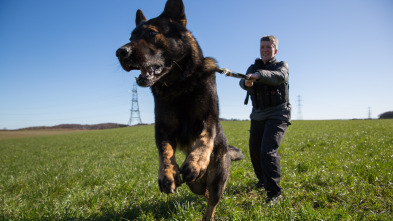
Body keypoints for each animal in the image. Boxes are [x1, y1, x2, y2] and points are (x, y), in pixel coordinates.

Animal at [115, 0, 242, 218]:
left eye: (151, 33)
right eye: (131, 37)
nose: (120, 52)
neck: (180, 84)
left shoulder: (210, 118)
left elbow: (205, 138)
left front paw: (196, 162)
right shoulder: (162, 128)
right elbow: (165, 151)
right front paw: (167, 174)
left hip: (217, 181)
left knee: (211, 203)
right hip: (195, 186)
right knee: (202, 191)